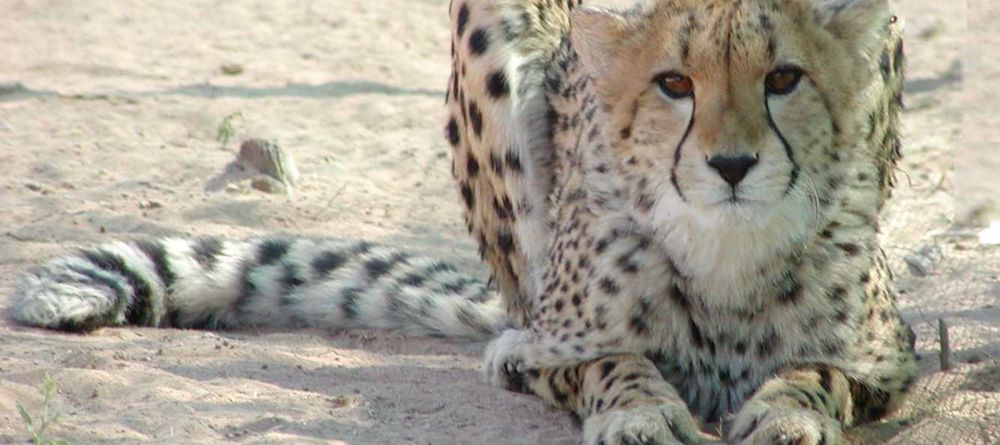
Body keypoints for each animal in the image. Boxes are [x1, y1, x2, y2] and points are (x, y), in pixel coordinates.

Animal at [9, 0, 916, 444]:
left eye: (784, 79)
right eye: (674, 85)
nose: (731, 164)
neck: (725, 250)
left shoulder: (890, 355)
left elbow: (823, 370)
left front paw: (790, 407)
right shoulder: (573, 336)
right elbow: (608, 359)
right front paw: (637, 409)